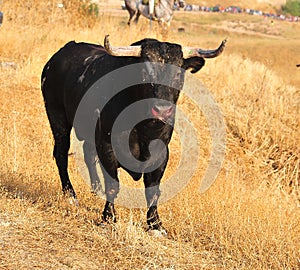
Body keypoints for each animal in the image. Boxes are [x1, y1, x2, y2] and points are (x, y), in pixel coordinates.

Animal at [41, 35, 225, 232]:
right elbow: (113, 185)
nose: (162, 110)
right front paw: (108, 218)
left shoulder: (161, 153)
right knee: (61, 154)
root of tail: (59, 55)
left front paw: (155, 224)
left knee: (88, 153)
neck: (143, 125)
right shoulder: (107, 146)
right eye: (144, 72)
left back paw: (96, 189)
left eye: (178, 73)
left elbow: (153, 190)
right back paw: (70, 195)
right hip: (57, 118)